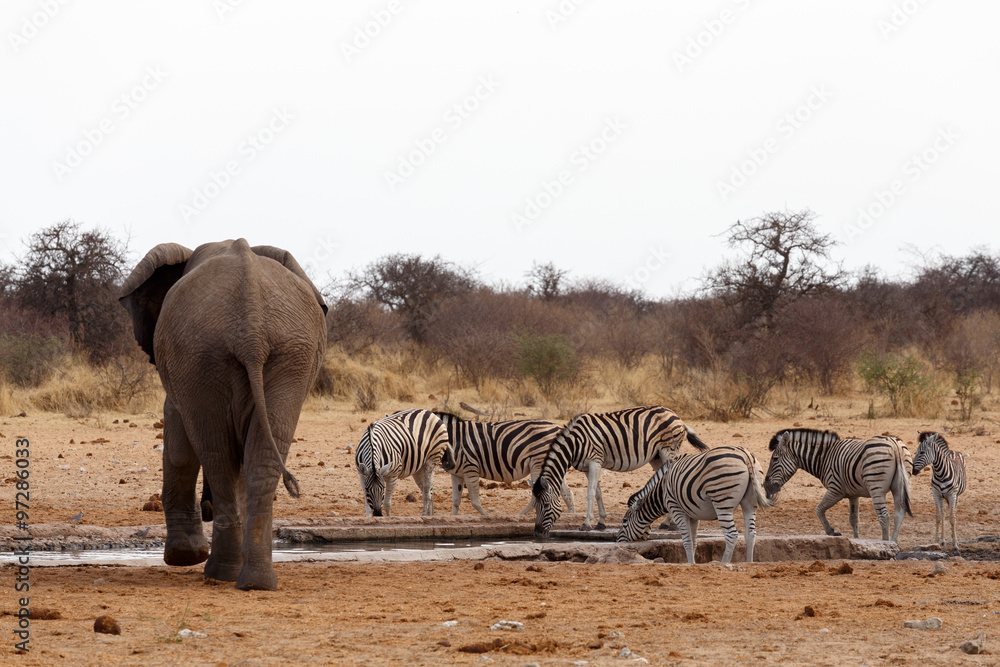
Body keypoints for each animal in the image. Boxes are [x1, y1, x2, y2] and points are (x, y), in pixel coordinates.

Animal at [119, 239, 327, 590]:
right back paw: (254, 582)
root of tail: (252, 329)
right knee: (255, 458)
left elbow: (178, 443)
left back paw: (220, 573)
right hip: (280, 356)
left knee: (217, 455)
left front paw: (184, 557)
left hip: (210, 356)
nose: (207, 508)